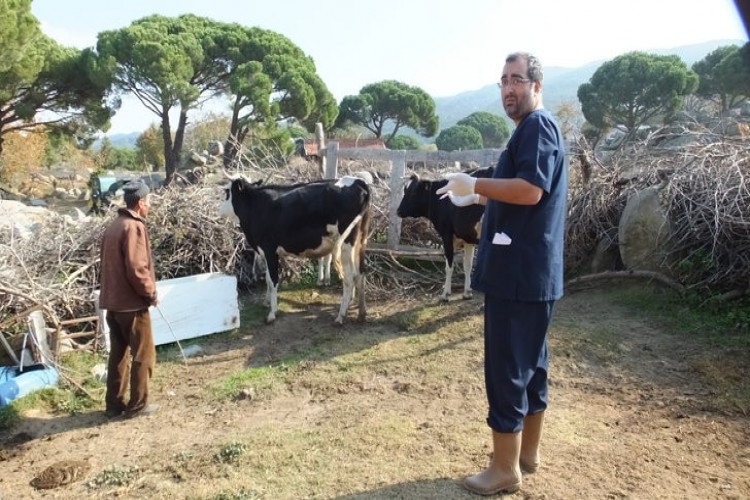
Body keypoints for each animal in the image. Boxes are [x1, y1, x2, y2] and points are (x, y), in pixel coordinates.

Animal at [219, 176, 372, 324]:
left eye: (227, 192)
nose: (218, 208)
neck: (256, 206)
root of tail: (358, 181)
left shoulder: (269, 250)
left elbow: (273, 281)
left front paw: (272, 313)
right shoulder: (267, 253)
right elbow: (268, 279)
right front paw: (267, 302)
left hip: (346, 244)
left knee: (349, 279)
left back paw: (341, 316)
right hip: (360, 241)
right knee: (361, 274)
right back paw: (361, 313)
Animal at [396, 168, 496, 300]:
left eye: (412, 193)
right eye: (405, 190)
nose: (398, 211)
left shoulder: (447, 234)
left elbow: (449, 266)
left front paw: (445, 294)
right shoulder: (468, 237)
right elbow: (467, 265)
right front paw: (467, 292)